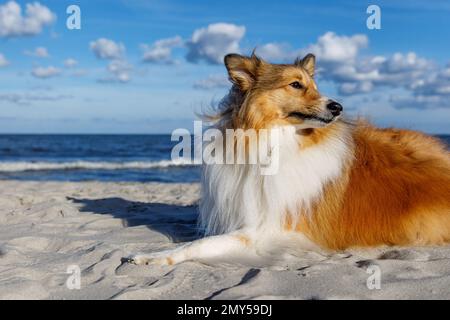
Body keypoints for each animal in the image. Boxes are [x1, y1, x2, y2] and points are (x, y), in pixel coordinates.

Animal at [125, 53, 450, 268]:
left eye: (315, 86)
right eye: (295, 85)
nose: (338, 107)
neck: (275, 139)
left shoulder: (267, 230)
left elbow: (200, 244)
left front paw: (152, 256)